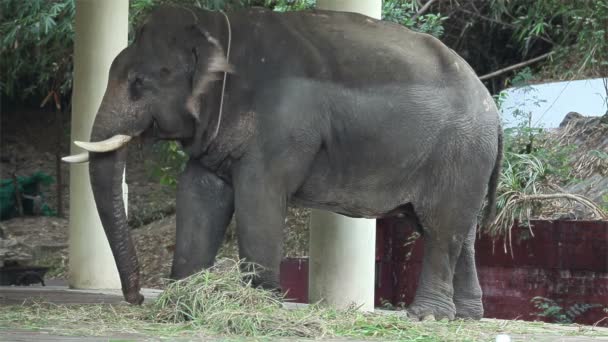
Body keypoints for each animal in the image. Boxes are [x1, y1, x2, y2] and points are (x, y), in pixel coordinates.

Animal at [63, 5, 504, 320]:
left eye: (139, 83)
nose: (136, 297)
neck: (216, 28)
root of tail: (493, 109)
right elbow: (199, 192)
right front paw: (184, 297)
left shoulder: (282, 125)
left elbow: (259, 193)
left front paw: (258, 301)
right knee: (455, 231)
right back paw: (466, 317)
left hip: (459, 153)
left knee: (440, 226)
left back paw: (427, 318)